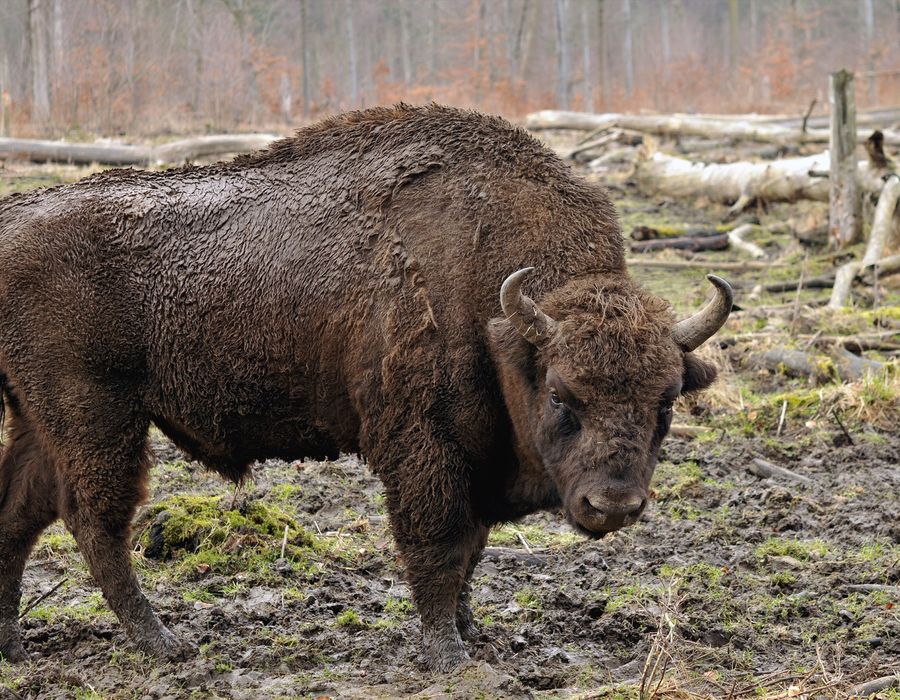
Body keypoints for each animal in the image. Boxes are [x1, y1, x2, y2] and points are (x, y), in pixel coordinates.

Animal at [0, 104, 731, 671]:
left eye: (667, 401)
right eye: (560, 395)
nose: (614, 505)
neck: (495, 308)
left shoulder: (474, 459)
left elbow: (471, 551)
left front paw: (473, 635)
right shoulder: (423, 446)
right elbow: (439, 545)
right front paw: (449, 655)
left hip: (38, 418)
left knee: (19, 514)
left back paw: (14, 647)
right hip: (95, 415)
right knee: (94, 521)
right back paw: (164, 644)